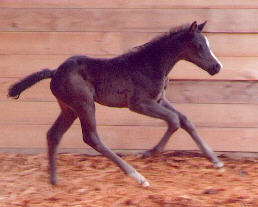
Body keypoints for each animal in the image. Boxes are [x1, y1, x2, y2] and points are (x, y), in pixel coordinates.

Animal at [8, 21, 224, 186]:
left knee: (54, 135)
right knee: (91, 137)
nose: (217, 67)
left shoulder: (159, 99)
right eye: (199, 46)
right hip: (84, 104)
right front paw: (149, 153)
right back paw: (137, 176)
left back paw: (54, 180)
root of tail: (54, 72)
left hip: (69, 108)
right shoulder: (139, 104)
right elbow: (173, 120)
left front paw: (215, 161)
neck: (151, 64)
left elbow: (185, 120)